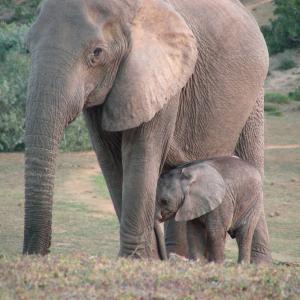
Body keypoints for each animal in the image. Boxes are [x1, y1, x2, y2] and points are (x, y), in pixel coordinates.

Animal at [23, 0, 270, 262]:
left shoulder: (160, 79)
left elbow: (140, 154)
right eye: (28, 48)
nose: (36, 255)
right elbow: (111, 161)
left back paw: (257, 265)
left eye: (97, 53)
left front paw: (135, 260)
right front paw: (147, 259)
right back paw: (178, 258)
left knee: (251, 158)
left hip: (255, 95)